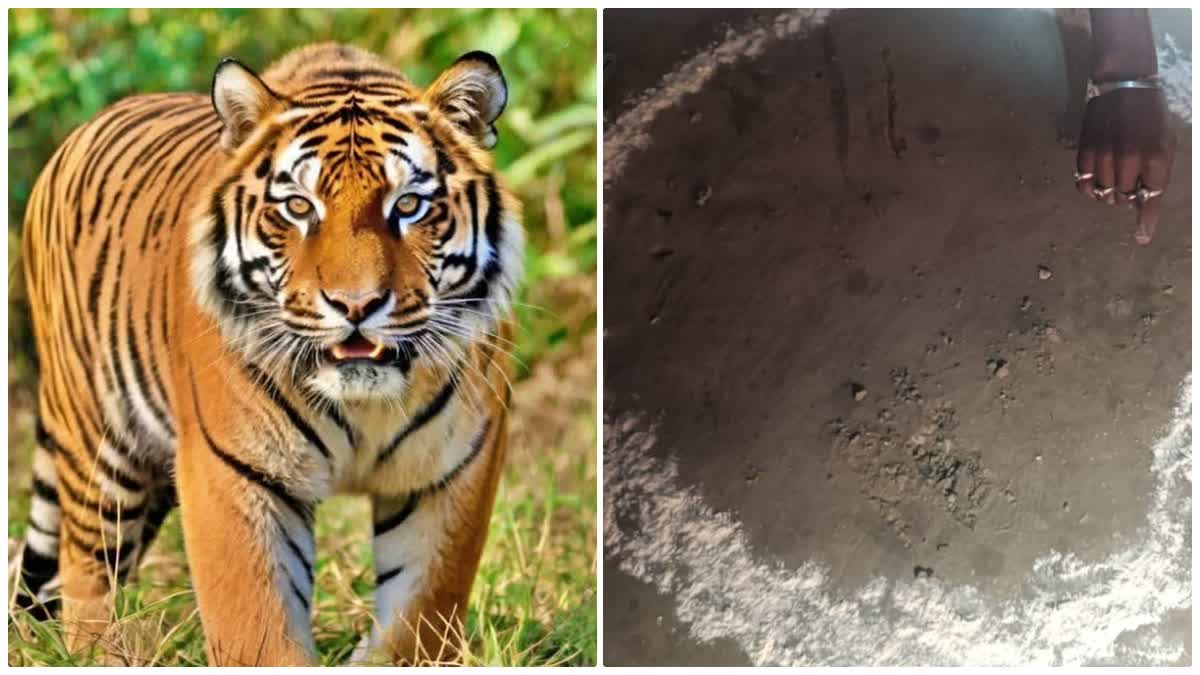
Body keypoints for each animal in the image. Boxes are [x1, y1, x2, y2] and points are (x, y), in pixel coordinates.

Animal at [16, 42, 523, 665]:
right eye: (299, 208)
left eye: (407, 205)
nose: (356, 304)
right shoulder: (233, 469)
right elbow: (255, 624)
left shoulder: (450, 471)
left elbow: (420, 617)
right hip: (101, 442)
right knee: (86, 566)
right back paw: (98, 654)